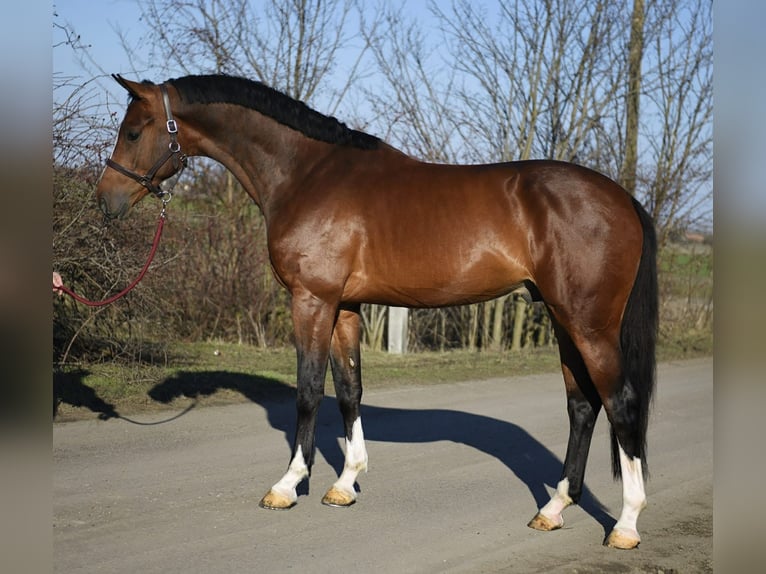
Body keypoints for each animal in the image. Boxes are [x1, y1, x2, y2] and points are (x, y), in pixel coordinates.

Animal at [96, 74, 657, 549]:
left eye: (134, 130)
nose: (105, 201)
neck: (306, 173)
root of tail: (624, 199)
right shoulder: (344, 306)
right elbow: (349, 390)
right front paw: (345, 483)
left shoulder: (312, 300)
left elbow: (308, 390)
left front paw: (287, 484)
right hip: (564, 321)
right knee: (582, 406)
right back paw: (554, 508)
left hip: (589, 325)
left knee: (621, 404)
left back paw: (626, 525)